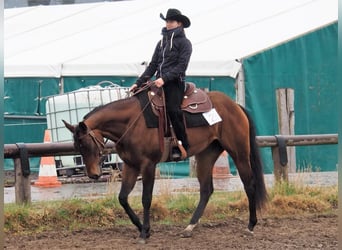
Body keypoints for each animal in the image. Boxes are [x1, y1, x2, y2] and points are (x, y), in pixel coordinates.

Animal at [62, 85, 268, 243]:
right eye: (77, 146)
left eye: (85, 144)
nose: (93, 174)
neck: (131, 122)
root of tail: (235, 105)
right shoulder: (130, 165)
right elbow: (122, 198)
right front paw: (142, 228)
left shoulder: (148, 165)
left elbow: (146, 199)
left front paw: (144, 233)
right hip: (206, 155)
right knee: (206, 190)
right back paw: (189, 227)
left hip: (239, 152)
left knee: (249, 184)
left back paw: (250, 225)